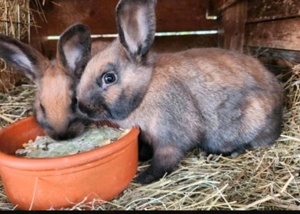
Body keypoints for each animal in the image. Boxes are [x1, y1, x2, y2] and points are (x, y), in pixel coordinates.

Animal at [75, 0, 284, 184]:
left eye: (109, 78)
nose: (82, 108)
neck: (146, 88)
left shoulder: (170, 137)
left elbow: (165, 160)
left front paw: (143, 178)